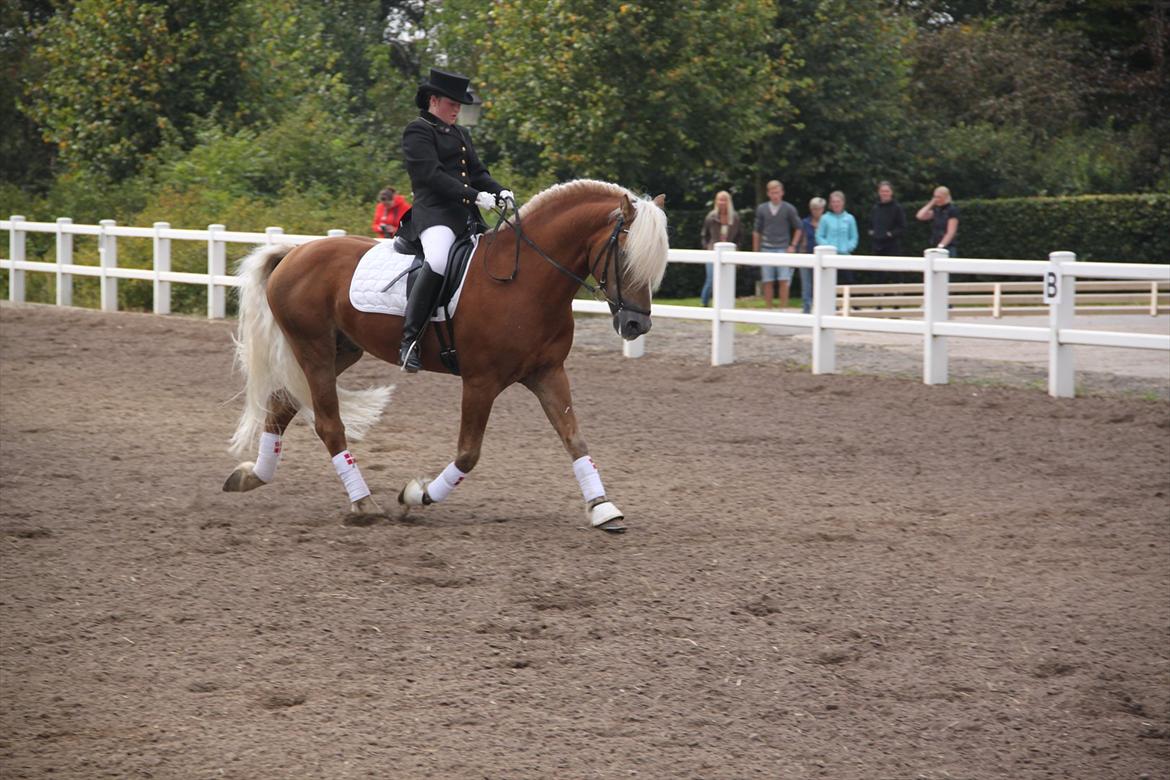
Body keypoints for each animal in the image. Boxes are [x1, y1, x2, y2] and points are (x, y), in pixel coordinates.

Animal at [223, 177, 673, 533]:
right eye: (625, 256)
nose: (636, 326)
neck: (526, 280)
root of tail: (293, 253)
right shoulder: (481, 382)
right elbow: (469, 454)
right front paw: (415, 495)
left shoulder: (548, 372)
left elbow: (574, 438)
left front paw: (603, 508)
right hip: (313, 349)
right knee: (328, 424)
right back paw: (364, 503)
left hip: (341, 350)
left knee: (281, 404)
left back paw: (250, 476)